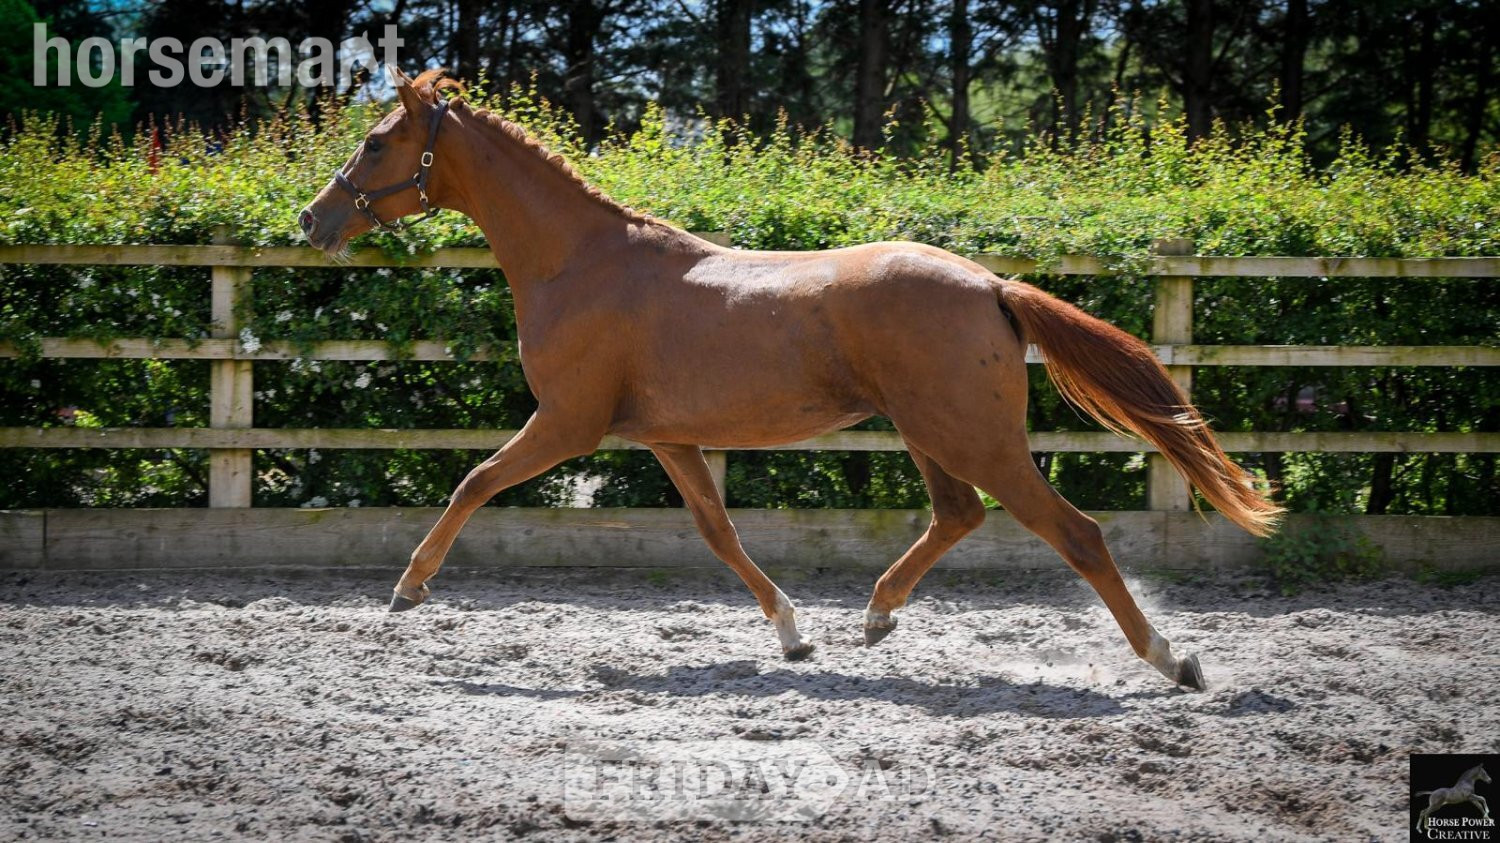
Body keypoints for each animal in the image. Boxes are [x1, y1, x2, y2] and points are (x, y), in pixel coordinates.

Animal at [299, 67, 1282, 689]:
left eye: (378, 142)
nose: (313, 219)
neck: (580, 263)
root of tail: (991, 285)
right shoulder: (667, 437)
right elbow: (719, 532)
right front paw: (794, 633)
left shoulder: (568, 423)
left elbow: (472, 480)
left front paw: (408, 588)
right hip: (932, 433)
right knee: (957, 515)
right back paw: (877, 615)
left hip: (974, 436)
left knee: (1074, 533)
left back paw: (1173, 659)